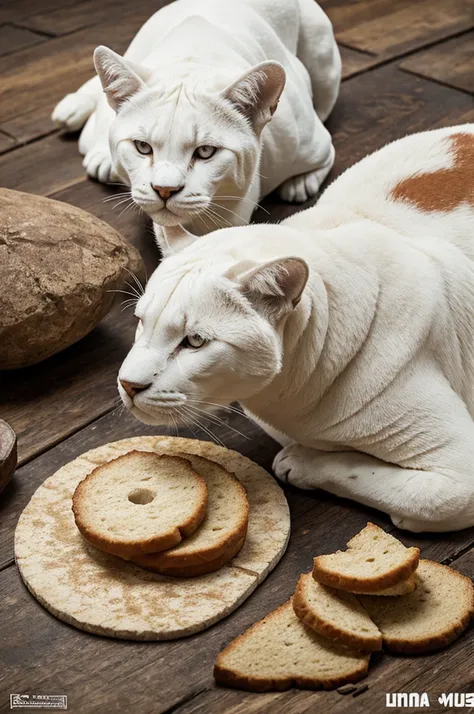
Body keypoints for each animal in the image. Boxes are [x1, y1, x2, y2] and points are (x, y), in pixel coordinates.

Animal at [52, 0, 340, 249]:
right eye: (142, 147)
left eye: (205, 151)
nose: (164, 190)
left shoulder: (316, 143)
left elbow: (327, 156)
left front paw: (301, 180)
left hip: (323, 60)